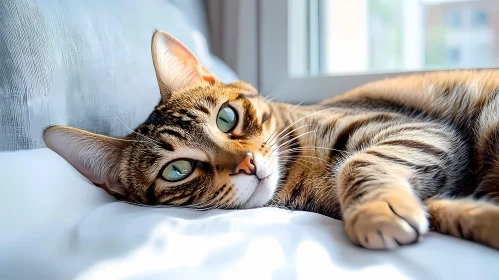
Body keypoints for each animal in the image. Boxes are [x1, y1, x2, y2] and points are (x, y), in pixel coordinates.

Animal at [44, 30, 499, 249]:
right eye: (177, 170)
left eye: (226, 117)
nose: (247, 165)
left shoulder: (413, 128)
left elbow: (360, 161)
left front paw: (376, 210)